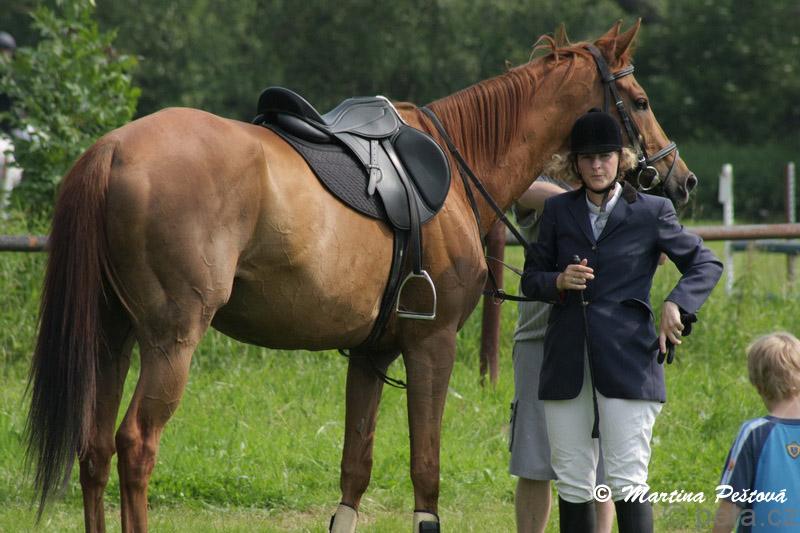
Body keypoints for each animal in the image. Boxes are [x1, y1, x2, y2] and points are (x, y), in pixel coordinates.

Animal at [26, 21, 697, 532]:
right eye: (639, 101)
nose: (681, 178)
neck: (459, 165)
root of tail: (112, 149)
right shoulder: (431, 347)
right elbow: (426, 473)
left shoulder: (370, 355)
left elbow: (355, 470)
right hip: (171, 343)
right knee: (136, 446)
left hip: (111, 339)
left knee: (94, 450)